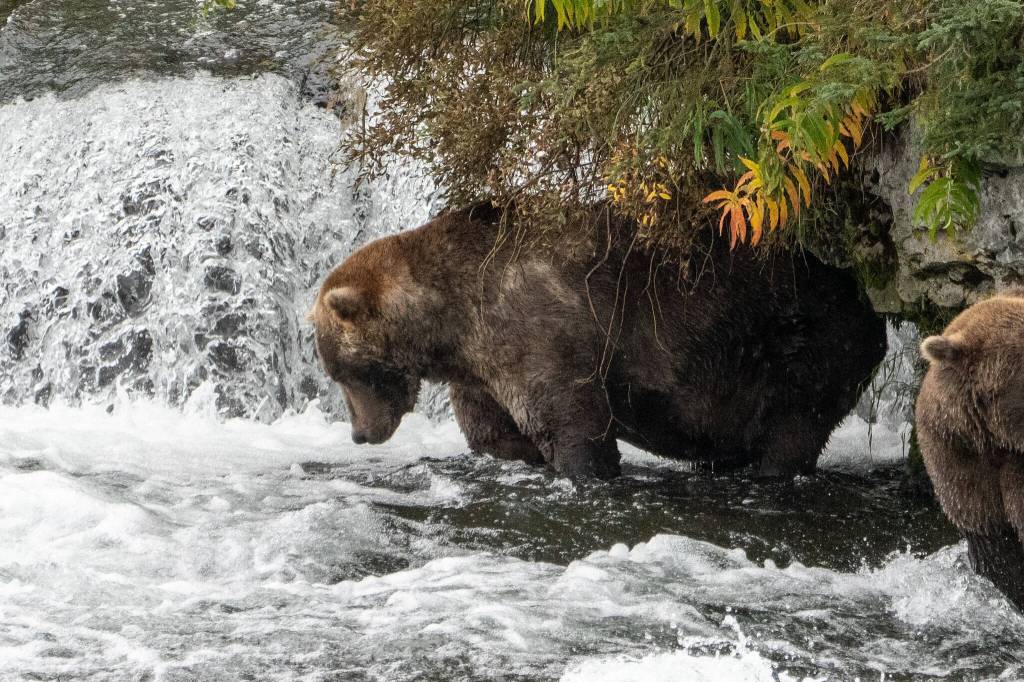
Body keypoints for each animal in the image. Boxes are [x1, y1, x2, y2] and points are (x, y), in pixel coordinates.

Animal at [310, 202, 886, 479]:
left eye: (346, 372)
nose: (359, 433)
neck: (449, 315)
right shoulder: (480, 362)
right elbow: (490, 428)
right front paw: (523, 452)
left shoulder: (537, 322)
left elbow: (571, 416)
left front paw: (585, 467)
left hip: (798, 339)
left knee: (794, 424)